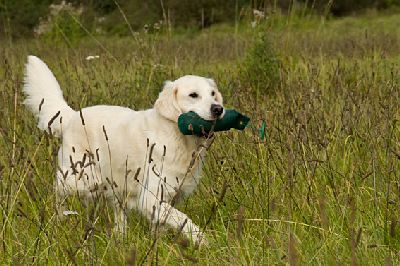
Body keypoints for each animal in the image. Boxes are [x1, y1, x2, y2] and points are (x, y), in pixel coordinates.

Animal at [23, 55, 225, 244]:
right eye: (193, 95)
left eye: (213, 93)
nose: (218, 109)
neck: (179, 137)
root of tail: (72, 116)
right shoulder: (150, 197)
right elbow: (183, 219)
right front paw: (203, 240)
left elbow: (161, 225)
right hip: (82, 178)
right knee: (58, 191)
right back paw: (60, 218)